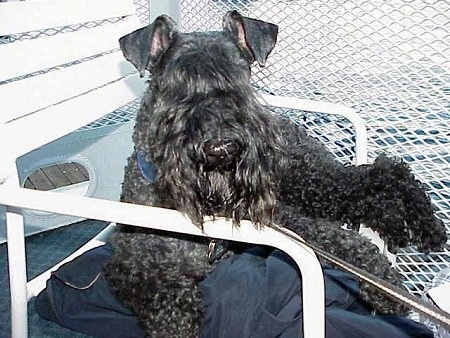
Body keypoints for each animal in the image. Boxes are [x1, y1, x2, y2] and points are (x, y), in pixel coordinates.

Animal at [104, 9, 446, 336]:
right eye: (174, 82)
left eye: (240, 75)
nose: (220, 145)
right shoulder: (131, 268)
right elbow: (169, 310)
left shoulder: (282, 220)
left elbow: (342, 240)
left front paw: (385, 285)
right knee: (372, 187)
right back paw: (404, 227)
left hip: (304, 179)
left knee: (383, 172)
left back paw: (428, 227)